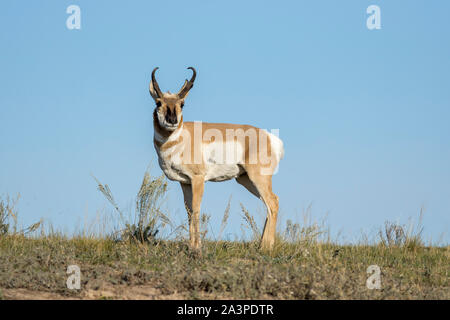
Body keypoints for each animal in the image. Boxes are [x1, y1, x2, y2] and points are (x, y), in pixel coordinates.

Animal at [151, 67, 284, 251]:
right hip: (245, 180)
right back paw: (261, 246)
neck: (181, 137)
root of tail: (270, 138)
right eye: (158, 103)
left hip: (258, 178)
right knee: (269, 204)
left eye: (182, 104)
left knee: (273, 202)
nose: (172, 120)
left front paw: (196, 247)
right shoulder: (184, 182)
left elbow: (196, 209)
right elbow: (189, 211)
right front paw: (191, 246)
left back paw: (266, 248)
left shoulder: (198, 179)